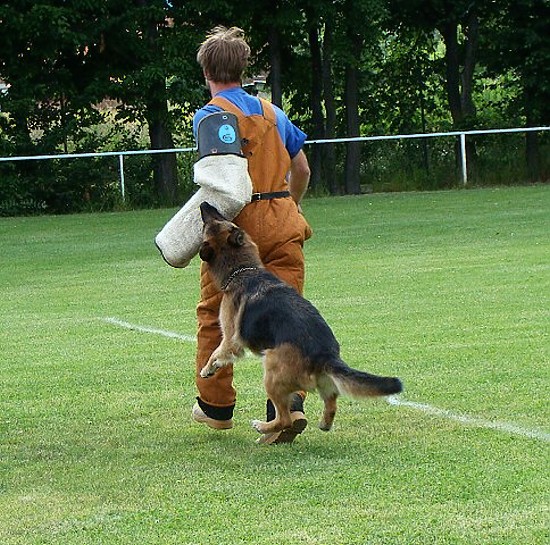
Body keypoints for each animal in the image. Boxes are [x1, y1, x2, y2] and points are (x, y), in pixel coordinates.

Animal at [198, 202, 402, 436]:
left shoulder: (230, 339)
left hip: (271, 372)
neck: (242, 270)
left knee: (285, 418)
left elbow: (215, 353)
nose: (204, 204)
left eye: (208, 225)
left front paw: (207, 369)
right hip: (322, 382)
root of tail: (325, 355)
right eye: (223, 220)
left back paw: (263, 427)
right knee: (331, 400)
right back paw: (324, 423)